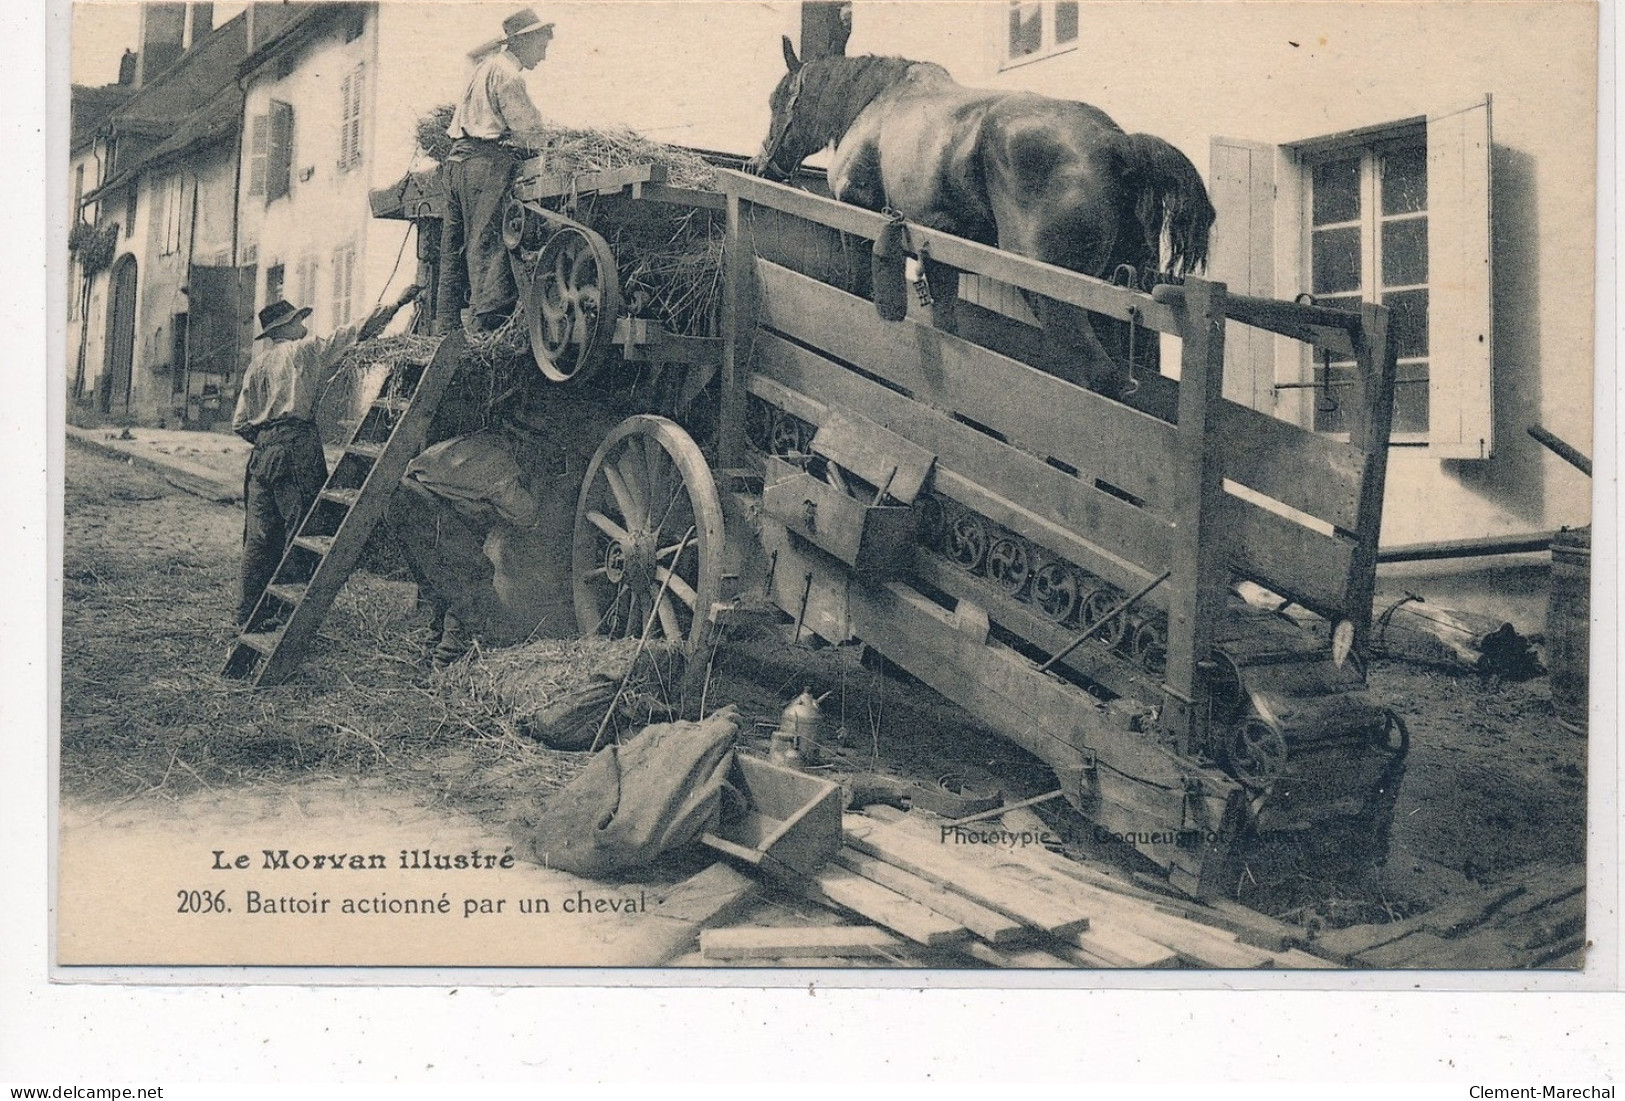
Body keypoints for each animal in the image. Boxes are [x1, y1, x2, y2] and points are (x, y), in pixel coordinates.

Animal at [744, 38, 1215, 401]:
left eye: (777, 101)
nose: (760, 165)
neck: (877, 103)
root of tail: (1116, 144)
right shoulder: (941, 251)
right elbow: (946, 324)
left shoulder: (855, 218)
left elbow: (858, 291)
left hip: (1054, 299)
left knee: (1097, 376)